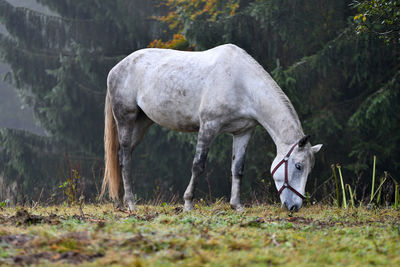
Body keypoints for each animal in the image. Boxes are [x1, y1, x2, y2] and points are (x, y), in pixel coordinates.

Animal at [101, 43, 322, 211]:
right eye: (298, 166)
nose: (294, 207)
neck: (241, 82)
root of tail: (116, 68)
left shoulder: (243, 132)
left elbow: (237, 168)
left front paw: (237, 206)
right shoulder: (209, 126)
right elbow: (198, 165)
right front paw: (188, 204)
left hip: (142, 123)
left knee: (121, 156)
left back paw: (120, 202)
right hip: (126, 119)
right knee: (125, 157)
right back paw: (131, 204)